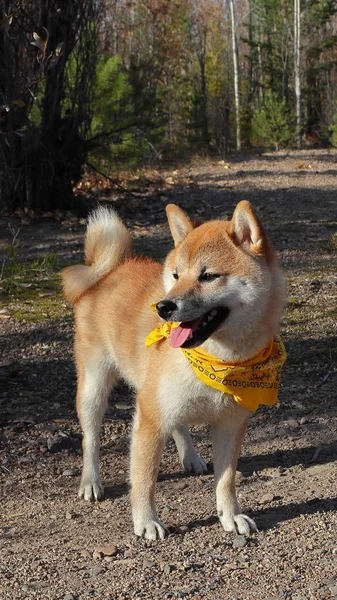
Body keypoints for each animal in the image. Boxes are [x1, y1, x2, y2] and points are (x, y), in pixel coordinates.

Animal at [61, 200, 284, 540]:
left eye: (208, 276)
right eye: (177, 275)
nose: (163, 307)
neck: (218, 359)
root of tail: (110, 269)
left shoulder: (230, 423)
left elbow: (226, 480)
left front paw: (230, 516)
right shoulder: (149, 418)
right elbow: (144, 479)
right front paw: (145, 520)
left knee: (179, 425)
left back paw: (190, 457)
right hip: (94, 389)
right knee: (91, 439)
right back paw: (91, 481)